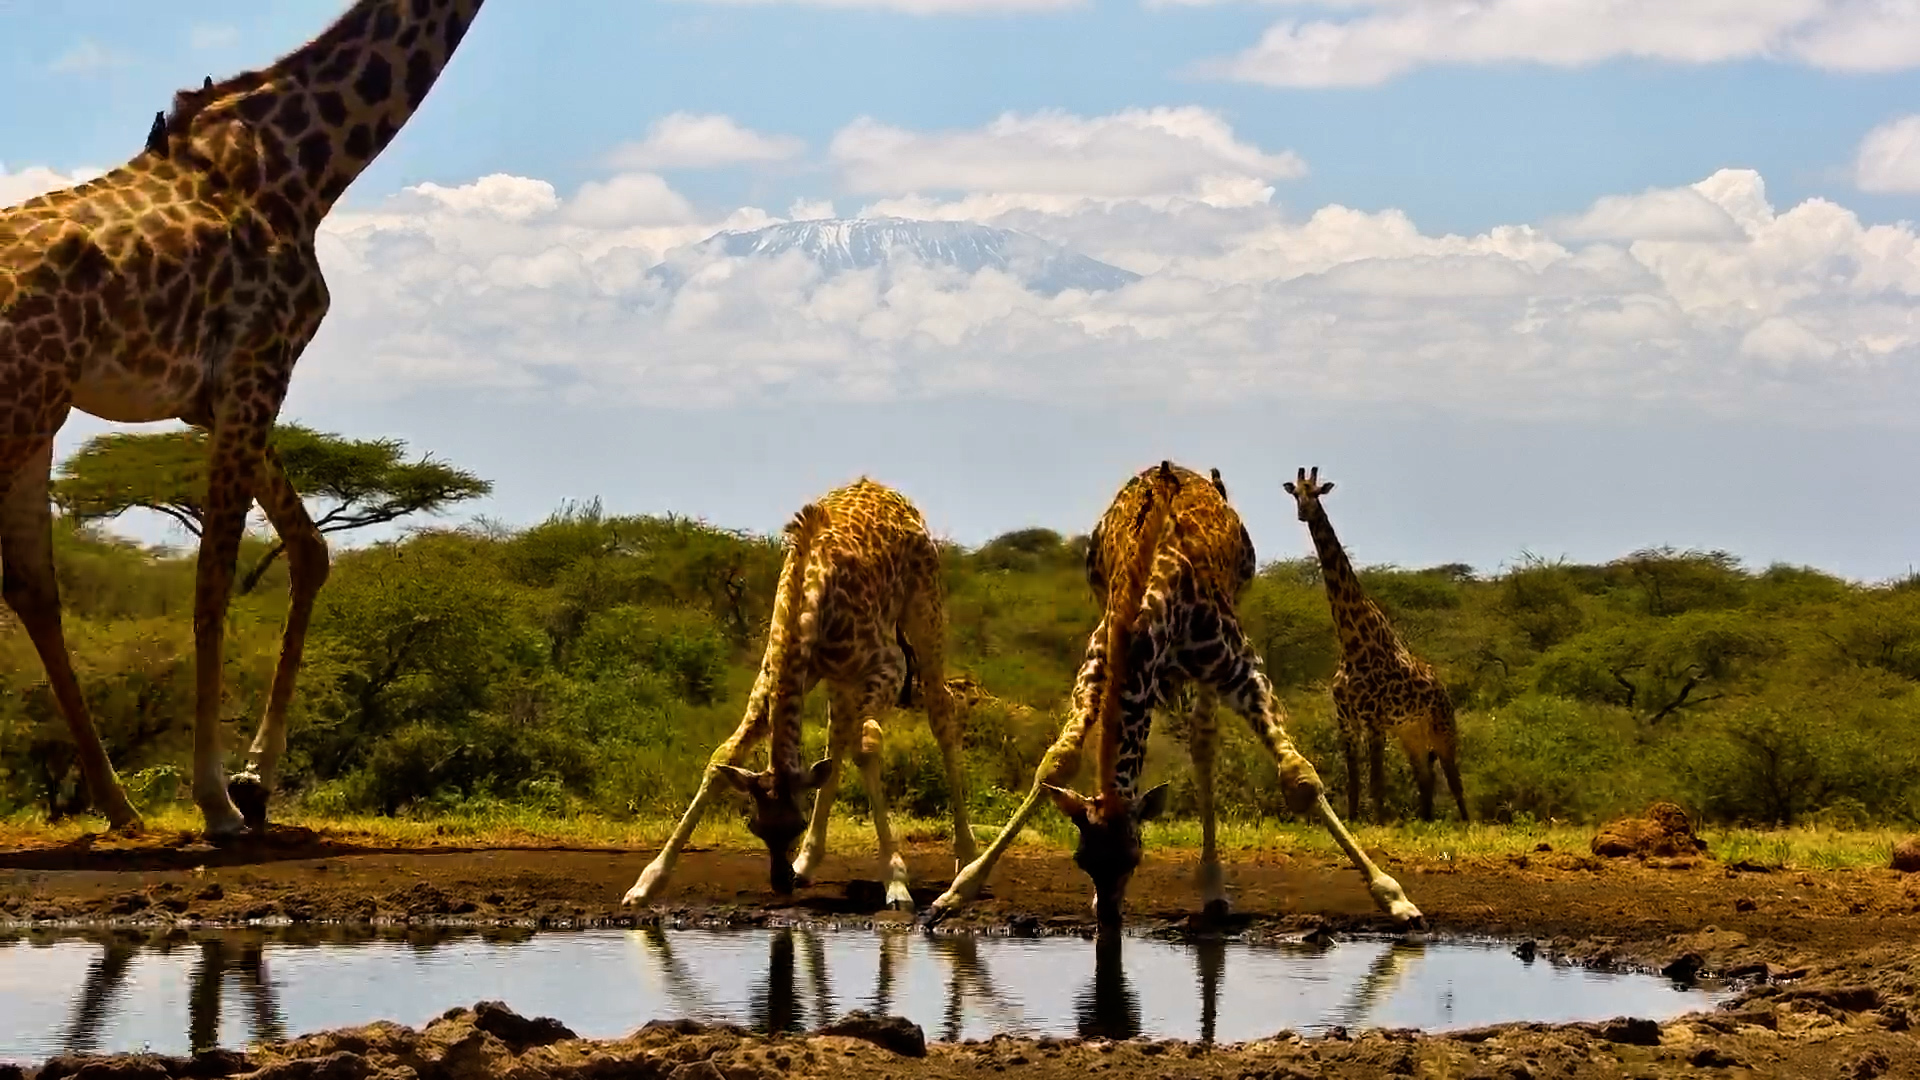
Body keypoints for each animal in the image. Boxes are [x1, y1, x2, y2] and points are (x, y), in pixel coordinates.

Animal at [0, 0, 489, 837]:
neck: (307, 162)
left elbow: (309, 550)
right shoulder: (260, 368)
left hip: (42, 412)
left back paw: (120, 806)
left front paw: (255, 780)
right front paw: (217, 798)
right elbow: (215, 578)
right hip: (21, 410)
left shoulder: (220, 395)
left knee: (34, 588)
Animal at [623, 478, 976, 910]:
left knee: (941, 712)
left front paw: (896, 884)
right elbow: (723, 755)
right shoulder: (772, 679)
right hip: (840, 678)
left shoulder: (888, 665)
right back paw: (809, 862)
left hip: (924, 612)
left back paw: (967, 858)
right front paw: (646, 884)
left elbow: (867, 746)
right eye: (755, 826)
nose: (781, 881)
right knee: (837, 735)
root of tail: (886, 490)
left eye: (796, 823)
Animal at [928, 461, 1421, 928]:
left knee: (1204, 741)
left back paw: (1214, 888)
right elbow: (1055, 764)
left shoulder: (1242, 666)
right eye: (1081, 860)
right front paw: (957, 891)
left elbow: (1299, 776)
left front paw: (1395, 897)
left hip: (1218, 653)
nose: (1108, 917)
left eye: (1135, 857)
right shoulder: (1095, 666)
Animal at [1284, 466, 1468, 824]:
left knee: (1454, 778)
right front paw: (1354, 820)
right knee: (1425, 776)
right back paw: (1425, 821)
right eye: (1295, 493)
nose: (1303, 513)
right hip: (1411, 733)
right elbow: (1354, 779)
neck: (1352, 642)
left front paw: (1379, 823)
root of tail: (1442, 687)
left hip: (1442, 727)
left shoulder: (1374, 719)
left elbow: (1376, 779)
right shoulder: (1346, 719)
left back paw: (1466, 824)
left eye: (1316, 493)